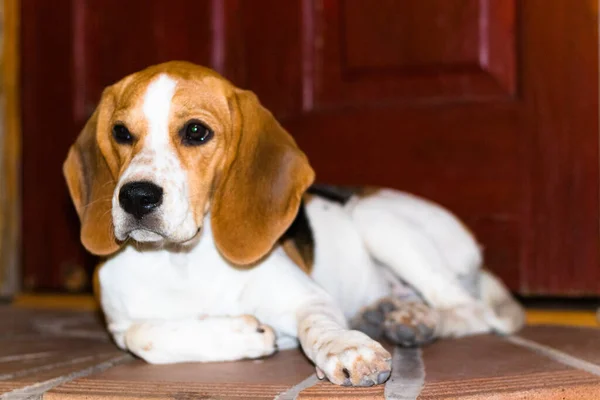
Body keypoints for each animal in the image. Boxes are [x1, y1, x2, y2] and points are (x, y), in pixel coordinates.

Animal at [63, 61, 524, 386]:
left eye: (196, 131)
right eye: (121, 133)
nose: (135, 197)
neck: (181, 261)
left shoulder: (307, 298)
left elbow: (318, 327)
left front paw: (347, 348)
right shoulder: (120, 323)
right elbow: (143, 337)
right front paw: (245, 333)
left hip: (374, 217)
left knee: (472, 311)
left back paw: (413, 323)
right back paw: (392, 312)